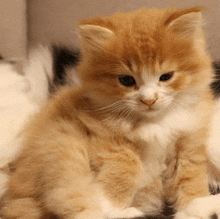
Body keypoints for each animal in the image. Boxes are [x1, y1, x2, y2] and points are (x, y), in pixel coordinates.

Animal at [0, 6, 217, 219]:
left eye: (166, 76)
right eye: (126, 80)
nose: (149, 100)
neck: (154, 123)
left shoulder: (189, 143)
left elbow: (190, 178)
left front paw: (195, 205)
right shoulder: (103, 138)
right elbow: (129, 163)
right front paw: (108, 203)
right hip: (63, 149)